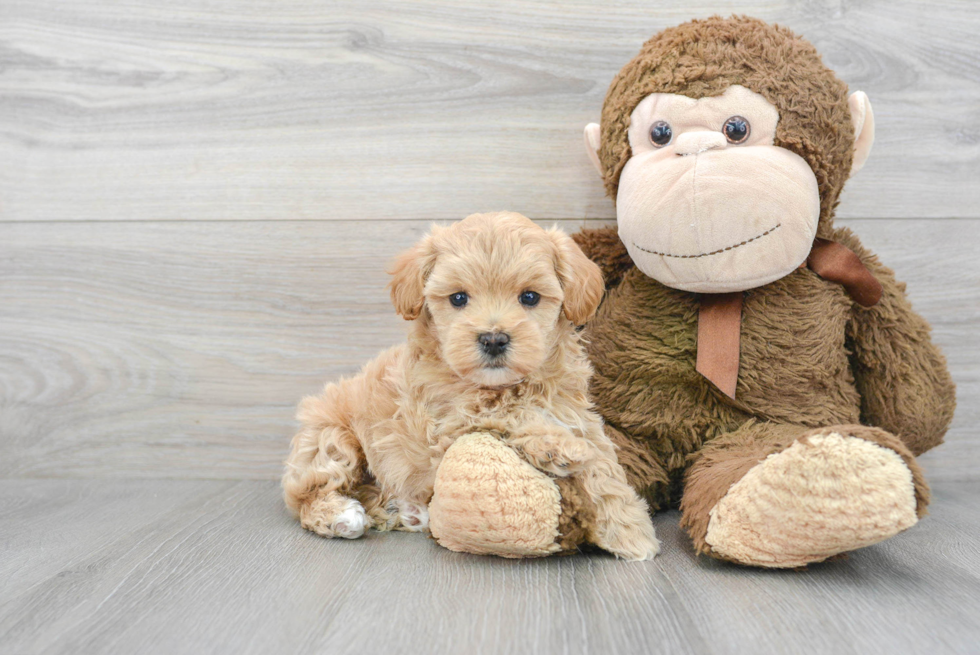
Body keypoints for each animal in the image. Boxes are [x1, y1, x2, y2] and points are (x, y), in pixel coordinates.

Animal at [288, 213, 664, 560]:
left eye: (530, 297)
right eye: (458, 298)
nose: (493, 339)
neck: (505, 384)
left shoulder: (578, 415)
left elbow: (604, 469)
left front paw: (629, 529)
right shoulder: (447, 422)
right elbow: (512, 412)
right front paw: (558, 445)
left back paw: (407, 511)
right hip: (330, 437)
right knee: (306, 493)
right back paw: (340, 515)